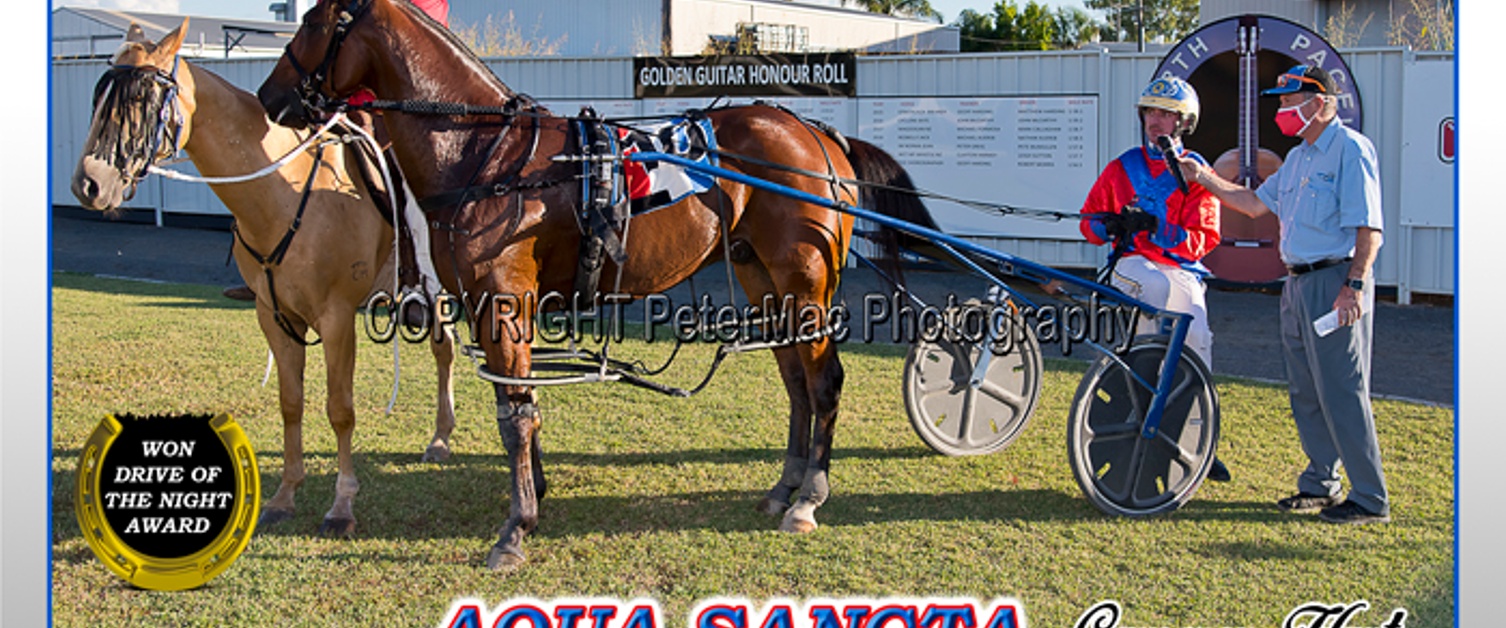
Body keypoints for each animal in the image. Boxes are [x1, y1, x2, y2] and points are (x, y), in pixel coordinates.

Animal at [71, 19, 457, 536]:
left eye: (140, 102)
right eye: (99, 99)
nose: (88, 185)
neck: (285, 191)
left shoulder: (336, 318)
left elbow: (340, 409)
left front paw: (342, 504)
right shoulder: (274, 316)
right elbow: (290, 402)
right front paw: (285, 495)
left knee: (444, 351)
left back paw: (440, 438)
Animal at [260, 0, 939, 569]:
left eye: (314, 22)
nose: (269, 96)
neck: (487, 154)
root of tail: (816, 132)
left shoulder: (504, 301)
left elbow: (516, 416)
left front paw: (515, 528)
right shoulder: (491, 308)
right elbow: (519, 405)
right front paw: (533, 498)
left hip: (806, 283)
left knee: (824, 382)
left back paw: (809, 498)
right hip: (763, 281)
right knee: (797, 383)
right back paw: (785, 486)